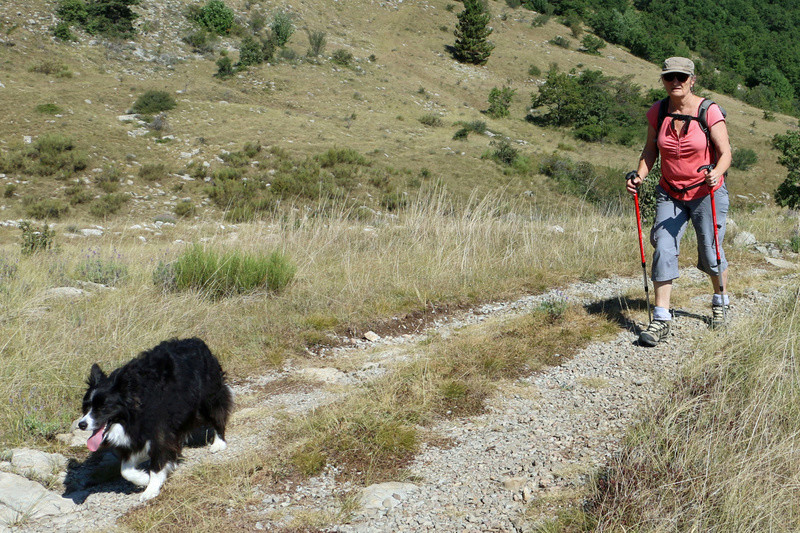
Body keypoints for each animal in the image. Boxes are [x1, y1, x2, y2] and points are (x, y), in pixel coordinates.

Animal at [77, 336, 231, 498]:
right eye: (86, 407)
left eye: (103, 408)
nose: (81, 424)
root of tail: (196, 341)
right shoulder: (135, 434)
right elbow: (125, 469)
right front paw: (143, 478)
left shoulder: (158, 428)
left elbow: (158, 460)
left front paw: (150, 489)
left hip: (208, 397)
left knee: (217, 413)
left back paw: (219, 443)